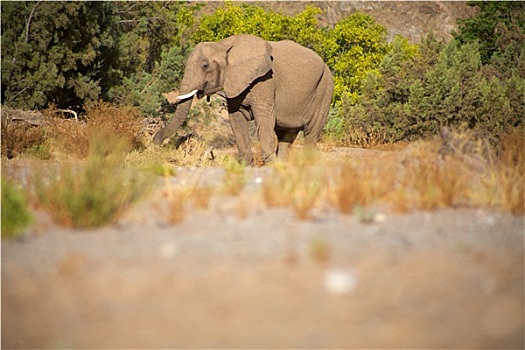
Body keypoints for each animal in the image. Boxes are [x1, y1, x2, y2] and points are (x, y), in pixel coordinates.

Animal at [152, 33, 332, 165]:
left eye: (205, 65)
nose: (156, 142)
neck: (223, 45)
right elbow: (236, 120)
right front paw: (247, 166)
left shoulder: (265, 81)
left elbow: (264, 120)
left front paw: (269, 166)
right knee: (285, 136)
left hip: (324, 88)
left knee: (311, 133)